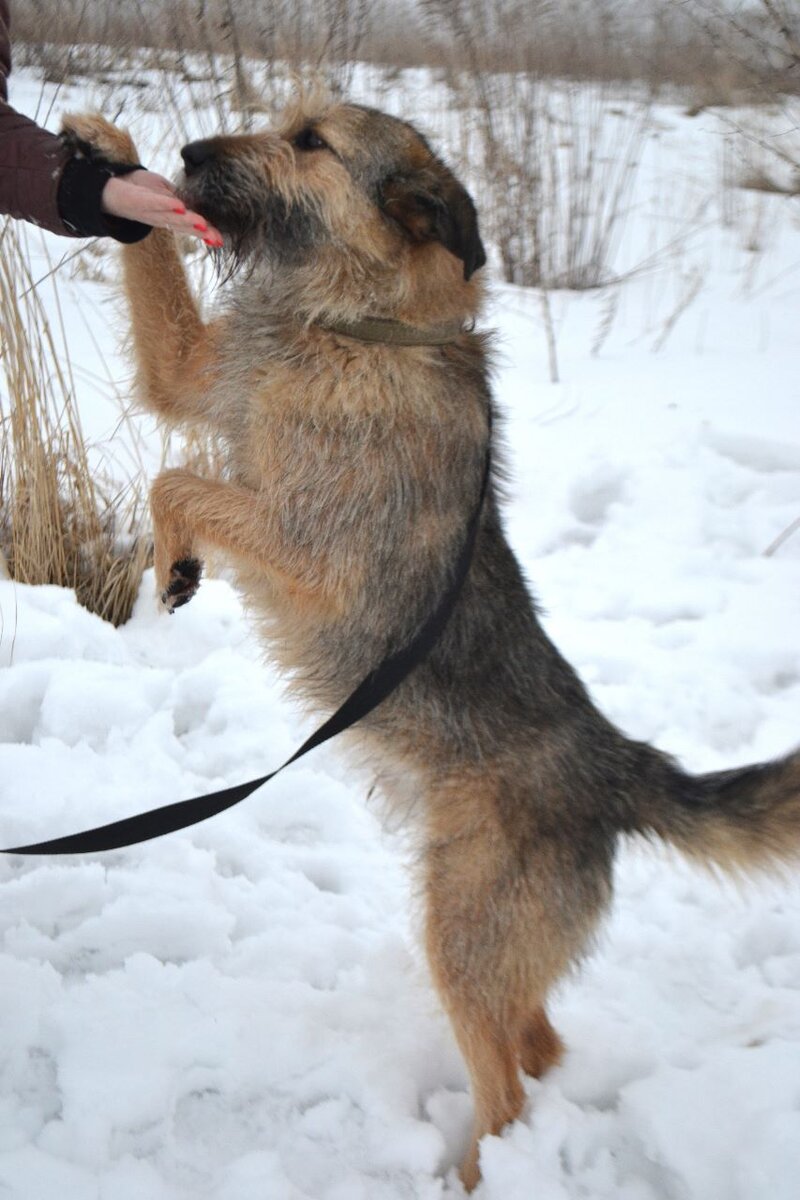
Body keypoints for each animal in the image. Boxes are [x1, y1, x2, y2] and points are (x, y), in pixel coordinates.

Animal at [62, 100, 800, 1190]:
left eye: (311, 143)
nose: (190, 154)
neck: (355, 324)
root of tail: (617, 765)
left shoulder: (309, 548)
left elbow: (179, 481)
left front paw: (178, 566)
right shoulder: (196, 376)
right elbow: (163, 331)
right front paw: (104, 147)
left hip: (465, 929)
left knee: (506, 1090)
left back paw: (480, 1174)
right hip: (496, 943)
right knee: (538, 1044)